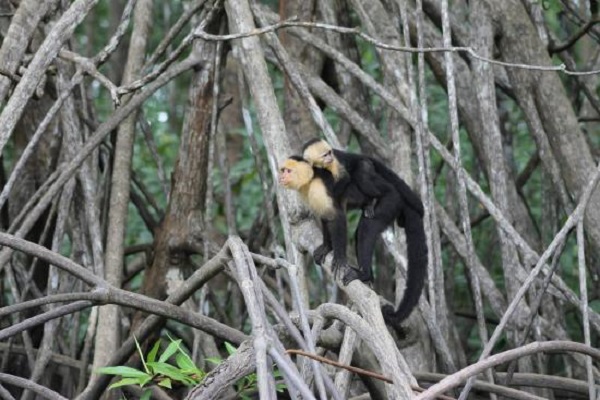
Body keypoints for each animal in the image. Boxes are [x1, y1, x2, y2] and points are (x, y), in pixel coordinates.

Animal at [302, 137, 428, 324]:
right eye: (324, 155)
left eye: (329, 153)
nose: (330, 158)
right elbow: (326, 215)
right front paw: (326, 246)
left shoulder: (337, 164)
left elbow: (339, 202)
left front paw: (338, 256)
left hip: (391, 201)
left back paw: (365, 274)